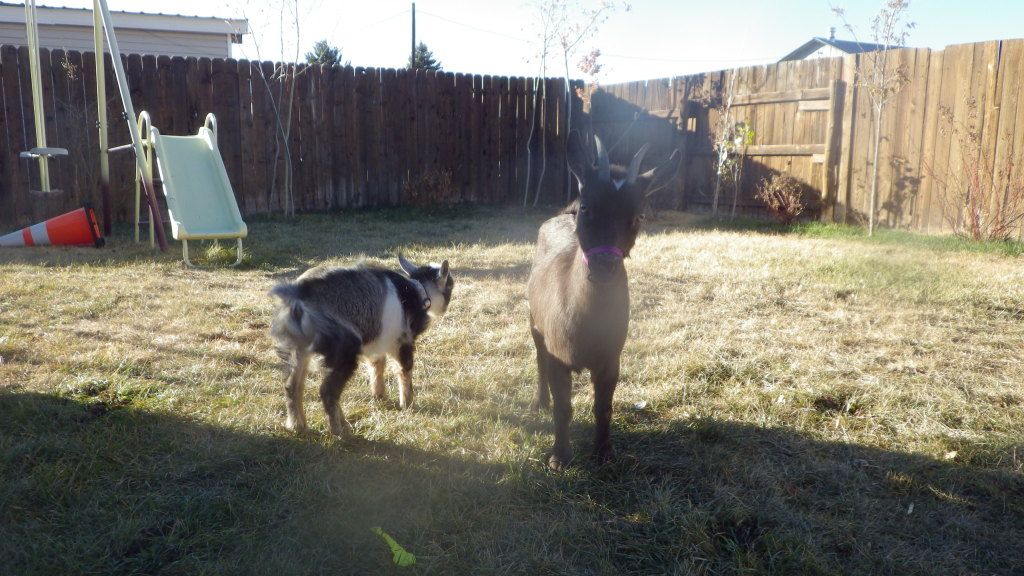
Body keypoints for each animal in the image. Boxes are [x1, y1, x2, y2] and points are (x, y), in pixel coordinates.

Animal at [270, 255, 454, 437]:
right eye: (450, 284)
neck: (417, 290)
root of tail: (299, 295)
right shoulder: (403, 341)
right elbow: (404, 370)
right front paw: (407, 404)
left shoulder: (376, 343)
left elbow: (377, 366)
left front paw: (379, 396)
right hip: (344, 350)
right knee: (327, 391)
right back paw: (339, 432)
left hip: (298, 349)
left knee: (293, 385)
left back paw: (298, 425)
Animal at [527, 131, 680, 470]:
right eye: (587, 207)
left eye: (638, 215)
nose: (604, 266)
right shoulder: (558, 355)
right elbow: (563, 407)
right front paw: (559, 456)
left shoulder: (612, 359)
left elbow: (604, 407)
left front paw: (603, 451)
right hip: (533, 321)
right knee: (538, 357)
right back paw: (539, 401)